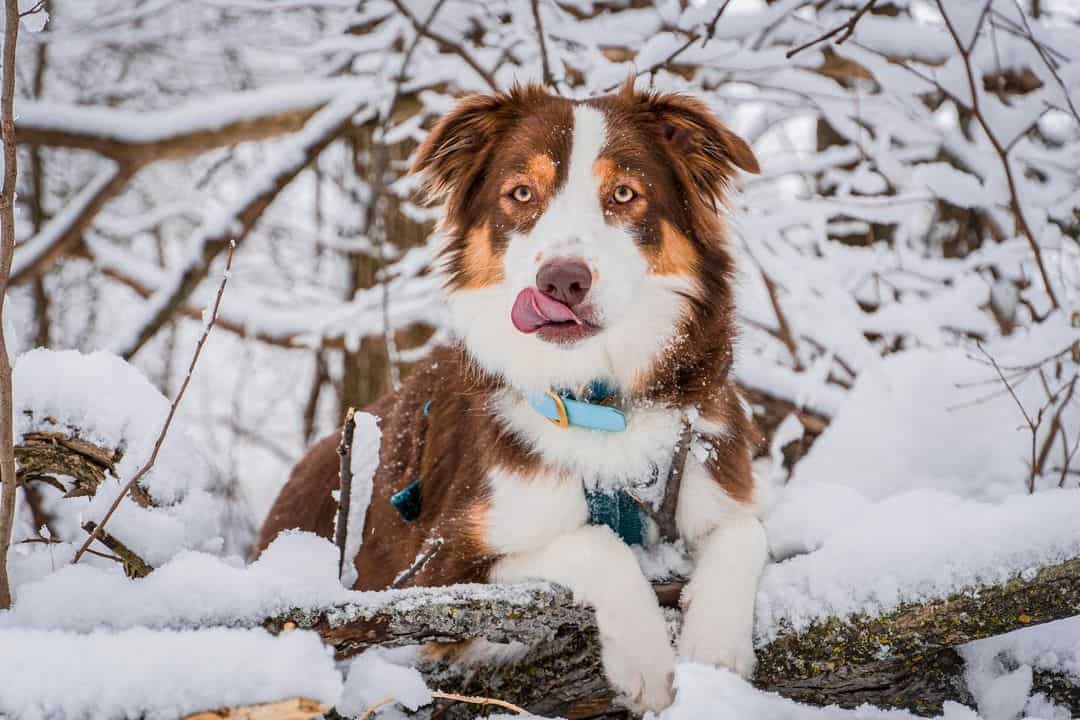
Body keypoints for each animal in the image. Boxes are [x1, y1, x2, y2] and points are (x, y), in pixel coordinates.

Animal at [258, 81, 768, 712]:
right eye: (522, 193)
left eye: (624, 193)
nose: (562, 281)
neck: (596, 406)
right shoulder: (438, 572)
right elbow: (596, 543)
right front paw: (646, 662)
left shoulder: (712, 473)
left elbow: (747, 532)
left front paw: (715, 650)